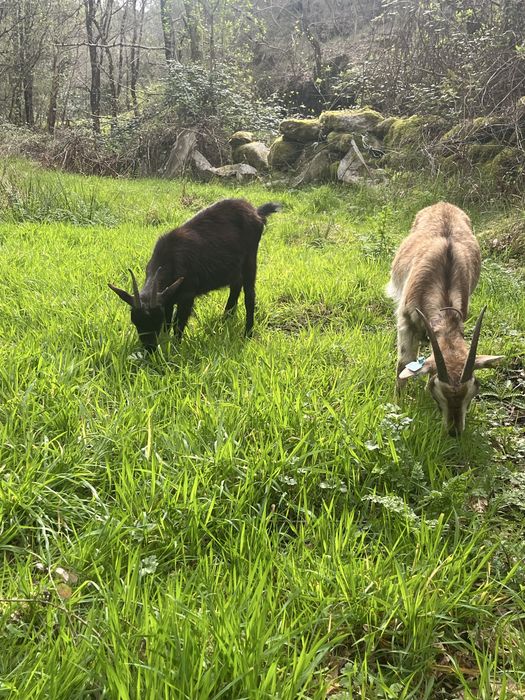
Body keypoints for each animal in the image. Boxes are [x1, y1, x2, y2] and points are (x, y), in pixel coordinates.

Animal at [109, 198, 281, 351]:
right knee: (235, 286)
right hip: (235, 267)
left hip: (250, 259)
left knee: (249, 295)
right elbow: (169, 322)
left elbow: (178, 324)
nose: (149, 349)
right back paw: (224, 320)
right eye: (135, 322)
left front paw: (175, 348)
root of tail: (256, 212)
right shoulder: (168, 296)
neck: (169, 258)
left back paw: (247, 333)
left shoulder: (187, 295)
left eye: (156, 320)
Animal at [386, 202, 504, 436]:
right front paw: (397, 406)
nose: (454, 432)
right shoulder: (405, 321)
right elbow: (403, 363)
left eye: (474, 390)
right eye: (436, 389)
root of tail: (443, 204)